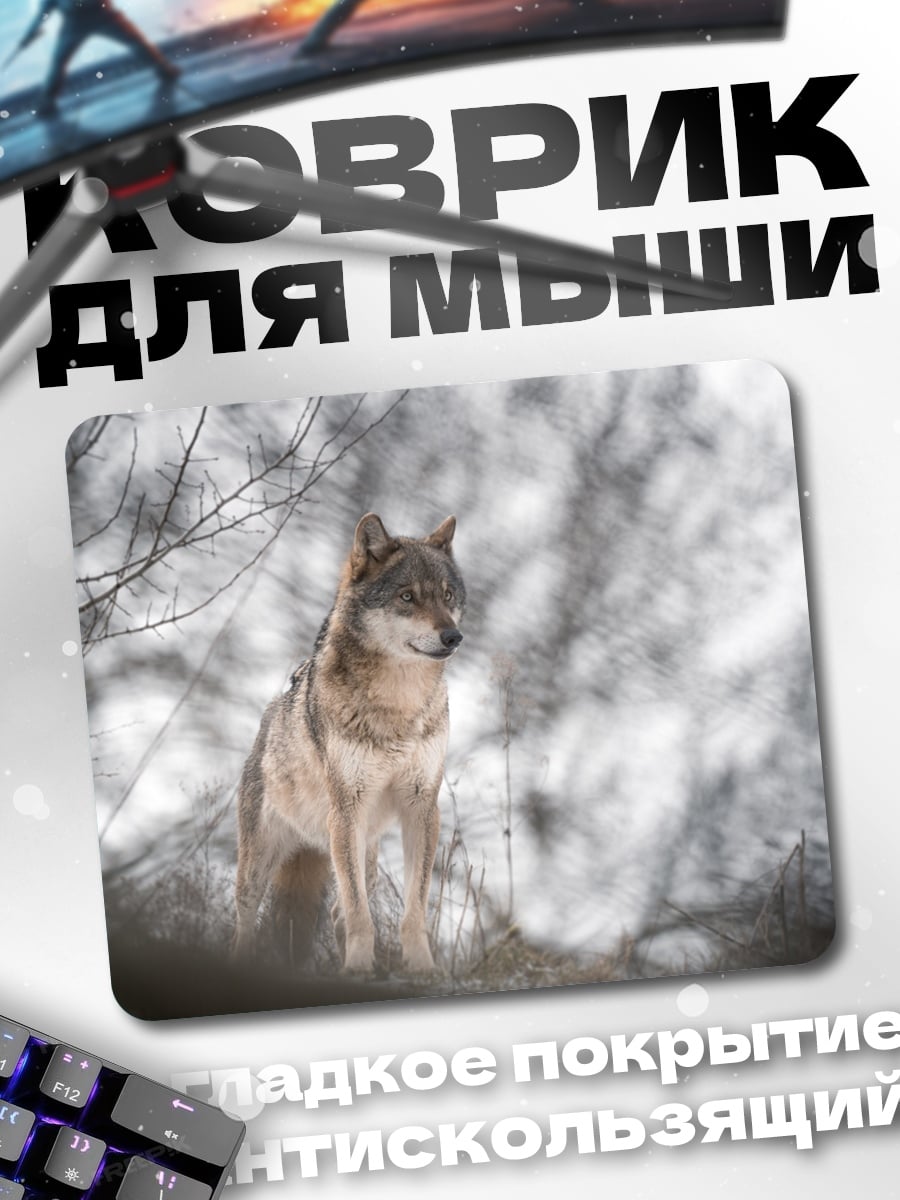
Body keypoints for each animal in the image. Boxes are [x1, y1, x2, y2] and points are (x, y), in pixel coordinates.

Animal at [233, 512, 465, 974]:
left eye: (447, 595)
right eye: (407, 596)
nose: (453, 637)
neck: (398, 705)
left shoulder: (421, 806)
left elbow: (412, 906)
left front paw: (421, 967)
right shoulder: (347, 808)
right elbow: (360, 913)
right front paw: (358, 966)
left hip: (364, 856)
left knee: (341, 908)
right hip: (262, 862)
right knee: (245, 923)